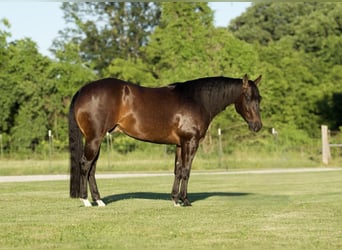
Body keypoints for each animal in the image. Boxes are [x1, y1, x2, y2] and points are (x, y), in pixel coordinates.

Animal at [69, 74, 262, 207]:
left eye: (259, 98)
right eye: (247, 97)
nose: (257, 126)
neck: (197, 99)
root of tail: (82, 90)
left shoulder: (179, 144)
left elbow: (178, 170)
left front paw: (175, 200)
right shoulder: (190, 142)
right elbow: (186, 171)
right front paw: (185, 200)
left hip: (97, 139)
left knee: (92, 168)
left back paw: (99, 201)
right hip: (94, 139)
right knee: (85, 165)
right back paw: (86, 201)